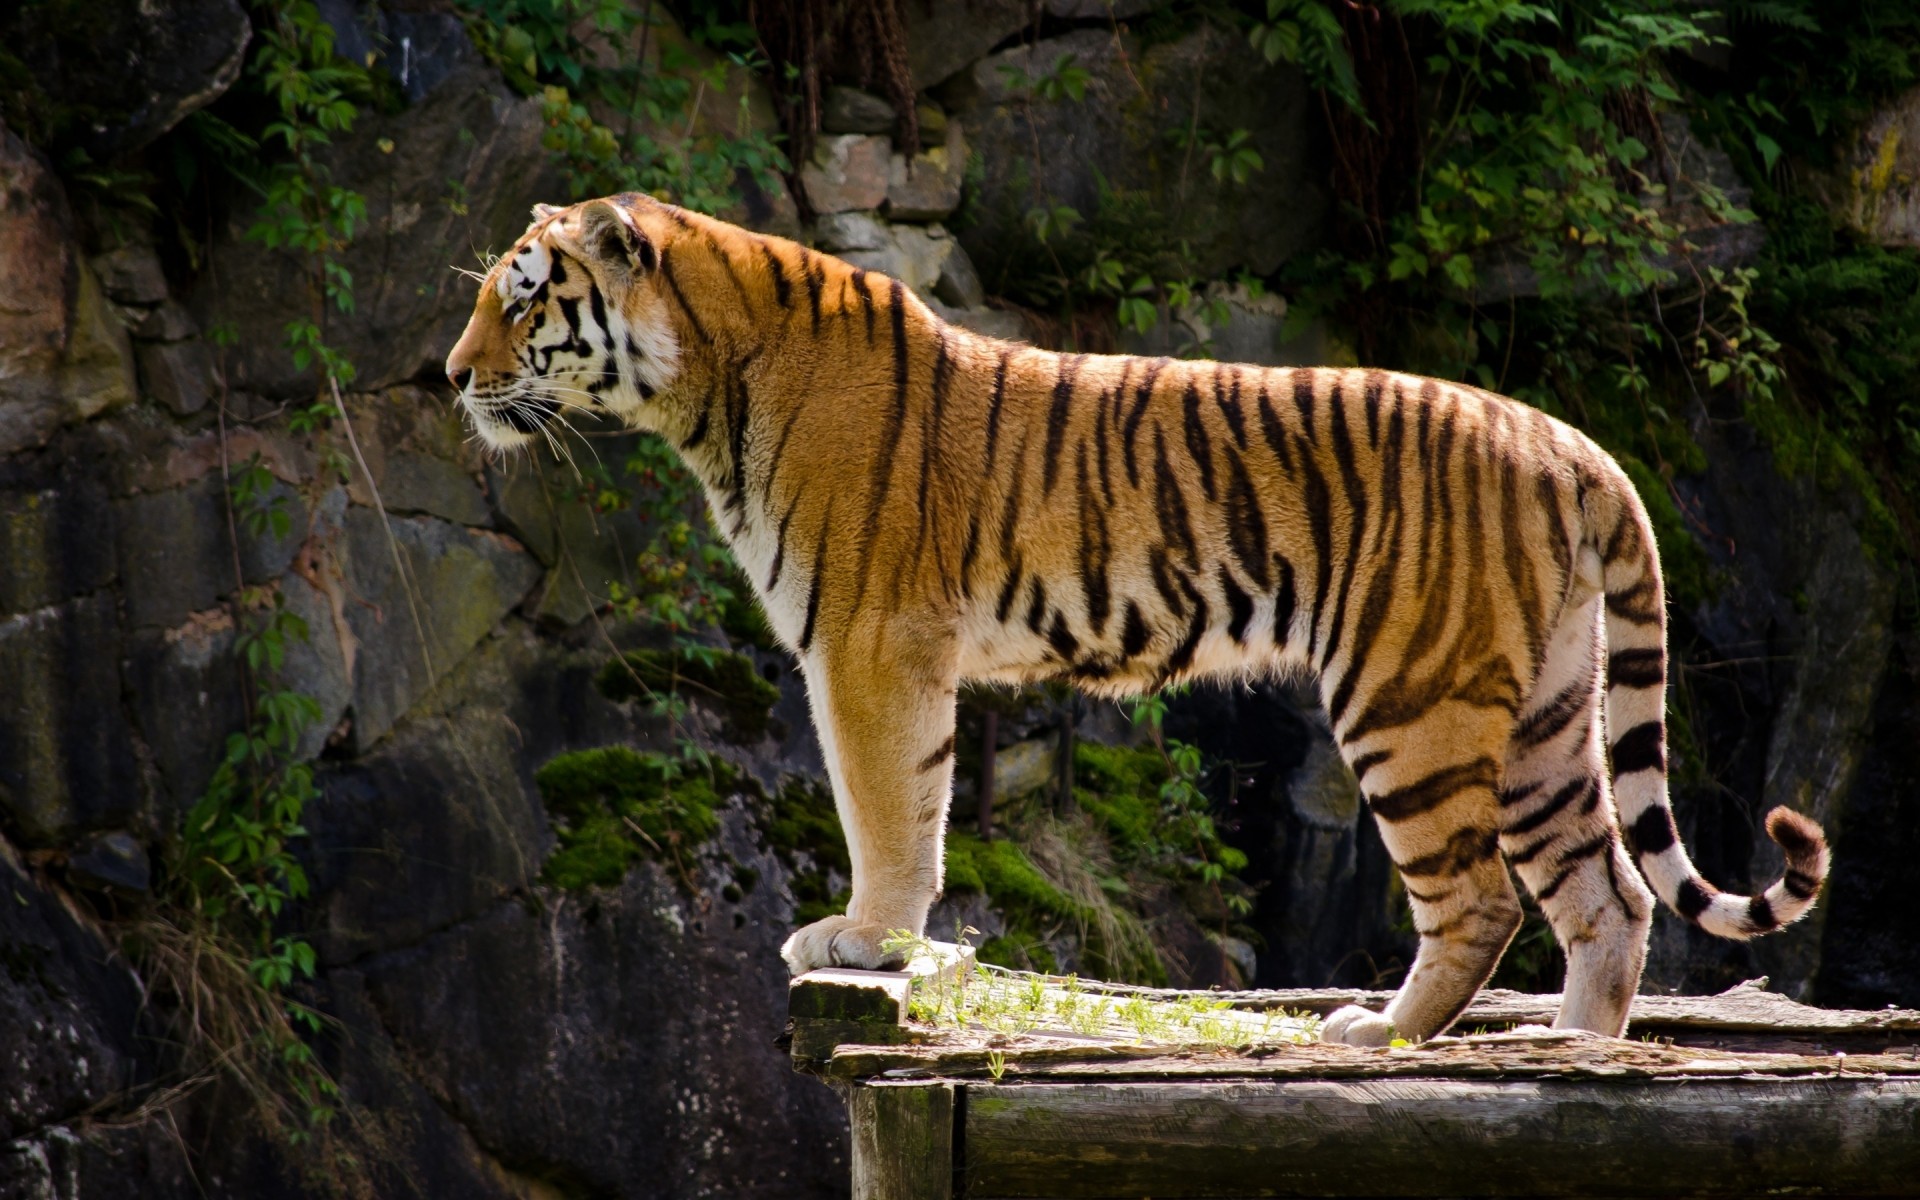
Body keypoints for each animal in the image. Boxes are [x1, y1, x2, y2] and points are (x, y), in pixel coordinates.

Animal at [445, 193, 1827, 1036]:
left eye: (522, 300)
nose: (452, 377)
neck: (705, 386)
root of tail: (1571, 444)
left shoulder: (869, 644)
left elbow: (888, 806)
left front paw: (864, 940)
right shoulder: (887, 649)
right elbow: (917, 802)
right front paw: (883, 937)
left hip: (1411, 699)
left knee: (1485, 899)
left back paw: (1378, 1036)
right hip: (1545, 710)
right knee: (1612, 897)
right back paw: (1576, 1052)